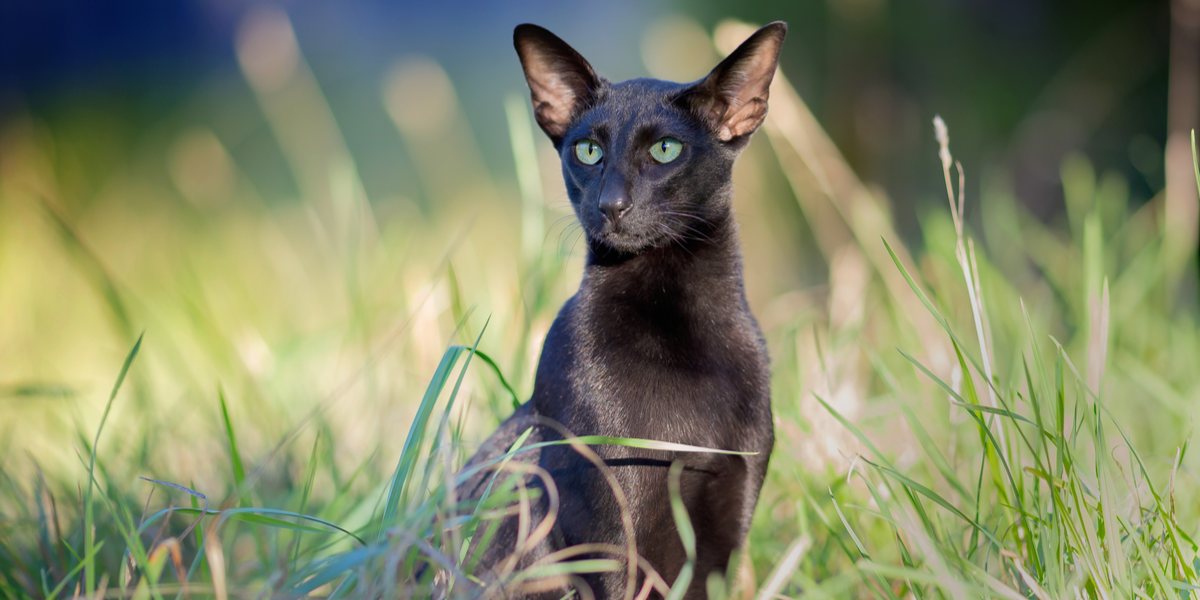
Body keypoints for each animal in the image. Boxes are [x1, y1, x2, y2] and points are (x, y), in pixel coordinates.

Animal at [453, 21, 782, 597]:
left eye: (666, 149)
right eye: (587, 151)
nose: (611, 205)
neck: (678, 330)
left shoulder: (728, 521)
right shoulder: (610, 530)